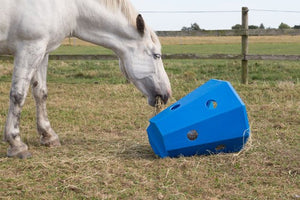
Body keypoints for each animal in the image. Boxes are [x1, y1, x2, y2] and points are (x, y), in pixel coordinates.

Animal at [0, 0, 171, 159]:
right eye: (156, 55)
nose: (167, 94)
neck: (67, 6)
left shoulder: (42, 51)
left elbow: (40, 93)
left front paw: (48, 135)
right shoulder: (29, 49)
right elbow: (18, 95)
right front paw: (16, 143)